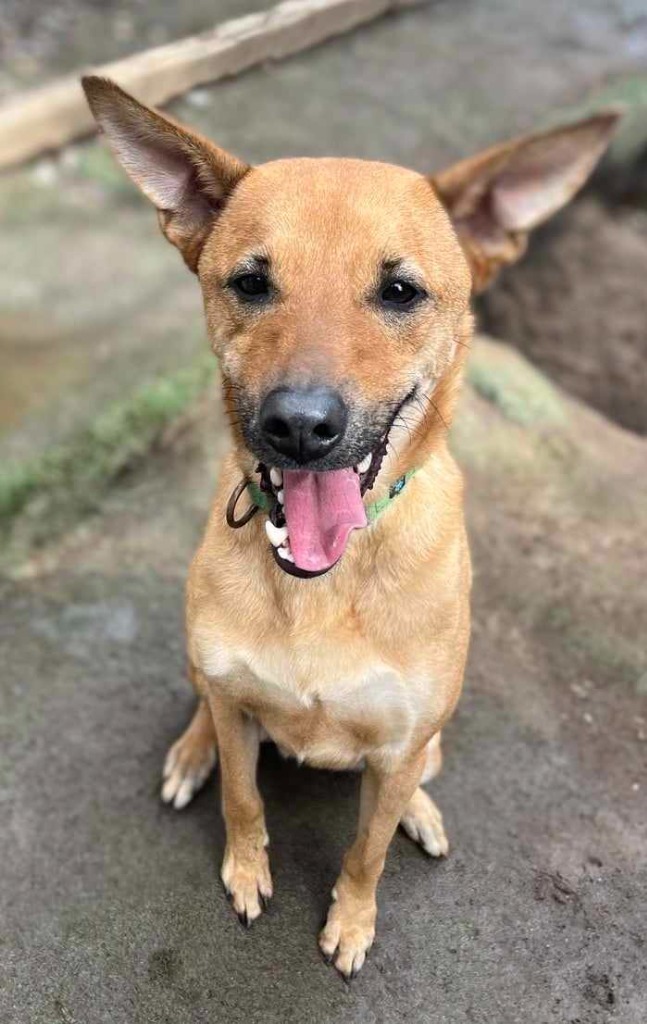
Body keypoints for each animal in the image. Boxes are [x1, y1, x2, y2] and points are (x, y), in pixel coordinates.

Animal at [80, 77, 618, 974]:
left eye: (399, 291)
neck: (322, 587)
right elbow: (241, 794)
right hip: (203, 671)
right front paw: (245, 866)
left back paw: (420, 812)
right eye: (250, 282)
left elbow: (365, 849)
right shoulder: (235, 700)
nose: (298, 426)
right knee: (206, 709)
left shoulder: (397, 747)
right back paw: (191, 752)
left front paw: (353, 919)